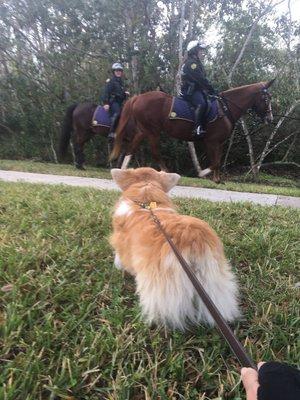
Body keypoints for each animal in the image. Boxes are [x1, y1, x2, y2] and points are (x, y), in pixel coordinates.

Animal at [109, 80, 274, 183]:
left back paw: (123, 172)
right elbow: (215, 162)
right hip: (152, 132)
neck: (225, 109)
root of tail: (137, 98)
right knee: (155, 152)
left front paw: (217, 180)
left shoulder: (219, 143)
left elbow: (218, 161)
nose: (270, 118)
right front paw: (202, 174)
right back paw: (167, 172)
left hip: (144, 131)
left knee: (131, 148)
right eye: (266, 99)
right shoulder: (211, 141)